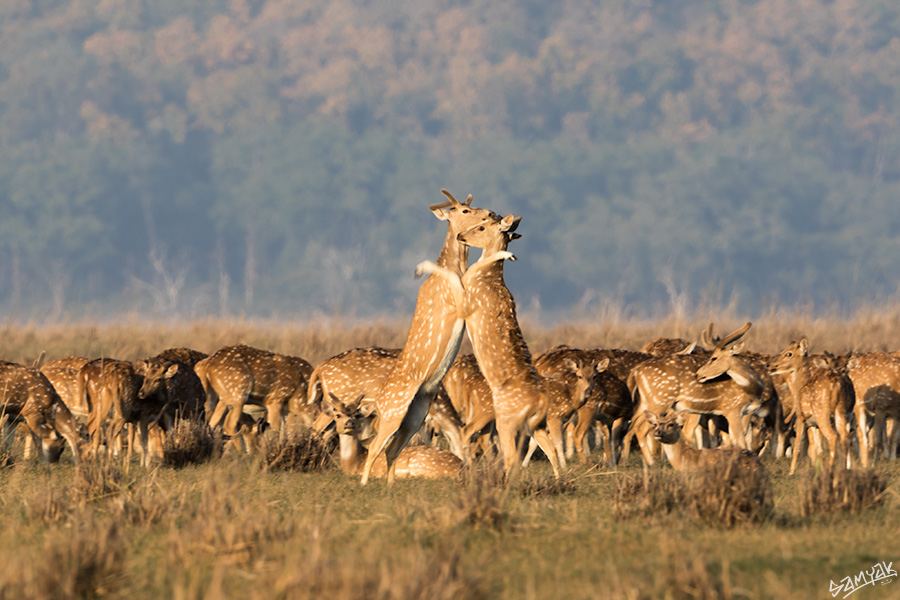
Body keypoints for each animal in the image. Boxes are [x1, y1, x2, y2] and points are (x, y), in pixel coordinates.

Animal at [356, 190, 500, 486]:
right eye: (463, 210)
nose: (491, 213)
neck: (455, 264)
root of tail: (377, 402)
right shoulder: (458, 303)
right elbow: (454, 280)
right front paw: (420, 268)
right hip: (395, 410)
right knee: (376, 446)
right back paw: (363, 483)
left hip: (416, 413)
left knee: (391, 449)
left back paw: (390, 485)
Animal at [768, 338, 856, 474]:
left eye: (789, 353)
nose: (770, 365)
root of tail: (838, 384)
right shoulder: (813, 424)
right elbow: (818, 449)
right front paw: (818, 470)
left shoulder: (800, 417)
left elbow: (798, 447)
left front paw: (791, 472)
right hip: (842, 412)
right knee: (845, 438)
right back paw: (843, 469)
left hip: (822, 412)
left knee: (833, 437)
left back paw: (831, 469)